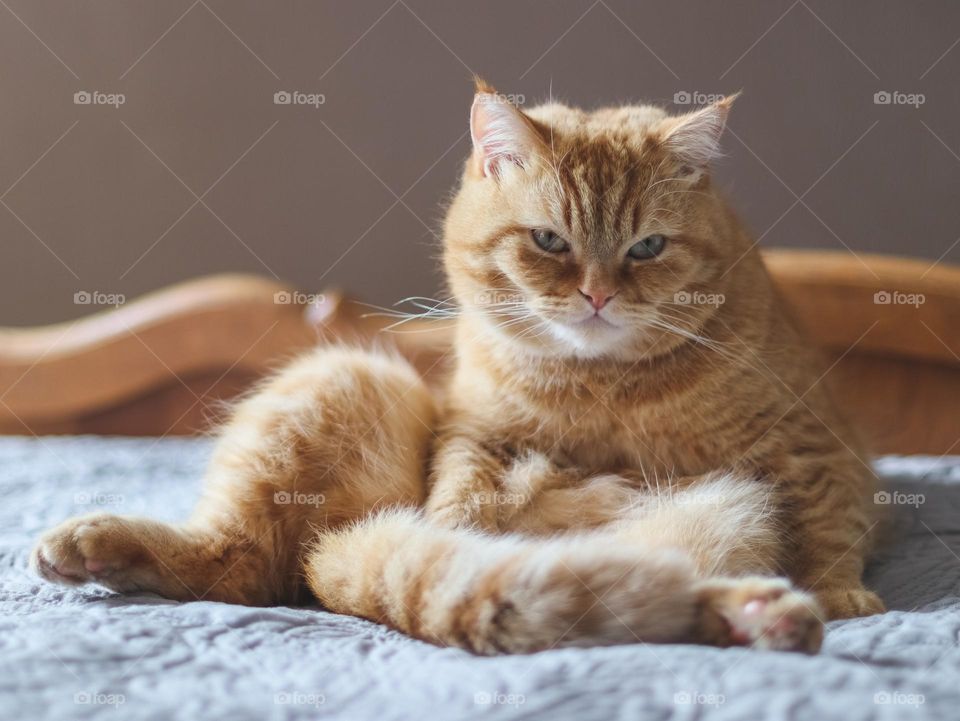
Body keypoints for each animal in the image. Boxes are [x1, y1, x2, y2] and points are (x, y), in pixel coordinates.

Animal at [31, 81, 884, 656]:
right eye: (548, 241)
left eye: (647, 248)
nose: (598, 294)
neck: (601, 386)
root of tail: (322, 563)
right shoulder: (472, 434)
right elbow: (460, 500)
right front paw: (469, 526)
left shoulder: (817, 449)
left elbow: (828, 521)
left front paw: (839, 591)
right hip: (344, 381)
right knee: (235, 562)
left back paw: (769, 615)